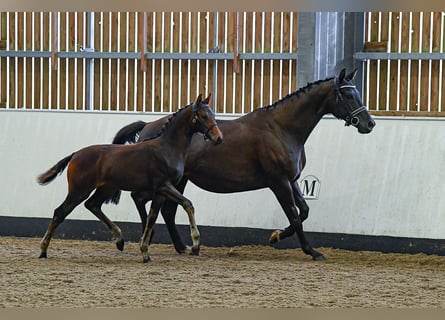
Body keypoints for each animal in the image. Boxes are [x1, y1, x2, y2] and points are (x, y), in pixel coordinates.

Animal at [36, 93, 222, 262]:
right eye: (203, 116)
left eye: (213, 114)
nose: (219, 138)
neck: (167, 148)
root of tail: (75, 154)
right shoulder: (164, 186)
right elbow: (187, 204)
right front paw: (195, 244)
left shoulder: (160, 191)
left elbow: (152, 216)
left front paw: (145, 252)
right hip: (79, 190)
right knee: (60, 212)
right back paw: (43, 251)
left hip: (106, 188)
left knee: (92, 205)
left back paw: (120, 240)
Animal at [114, 69, 374, 262]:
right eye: (348, 96)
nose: (369, 124)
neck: (281, 129)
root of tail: (149, 126)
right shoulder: (279, 182)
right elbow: (294, 216)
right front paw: (311, 251)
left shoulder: (291, 180)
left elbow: (304, 212)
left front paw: (276, 236)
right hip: (165, 181)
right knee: (142, 199)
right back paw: (147, 238)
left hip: (179, 180)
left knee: (167, 210)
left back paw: (180, 246)